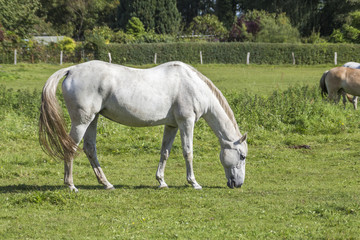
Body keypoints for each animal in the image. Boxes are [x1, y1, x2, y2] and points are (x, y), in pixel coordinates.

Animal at [39, 60, 248, 191]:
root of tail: (72, 70)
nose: (238, 184)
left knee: (90, 149)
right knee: (71, 148)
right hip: (82, 122)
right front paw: (194, 183)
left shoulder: (171, 126)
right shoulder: (186, 122)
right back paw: (71, 185)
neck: (193, 85)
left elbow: (165, 152)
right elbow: (188, 152)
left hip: (93, 119)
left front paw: (161, 182)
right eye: (242, 156)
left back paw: (106, 184)